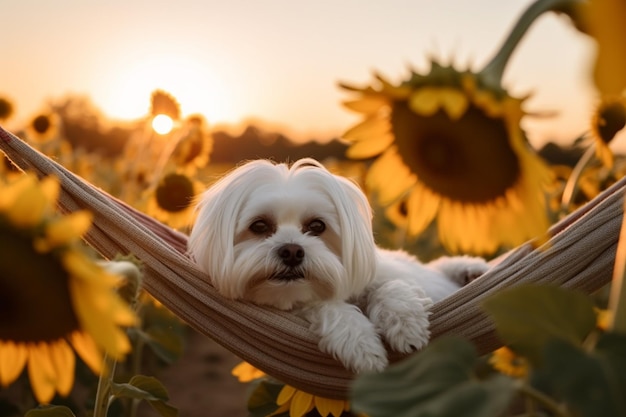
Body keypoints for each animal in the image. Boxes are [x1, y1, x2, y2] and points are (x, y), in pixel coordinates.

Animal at [186, 158, 488, 372]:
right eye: (259, 226)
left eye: (317, 226)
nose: (292, 251)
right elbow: (329, 309)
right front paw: (362, 345)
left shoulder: (384, 274)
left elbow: (391, 287)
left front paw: (405, 324)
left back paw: (470, 269)